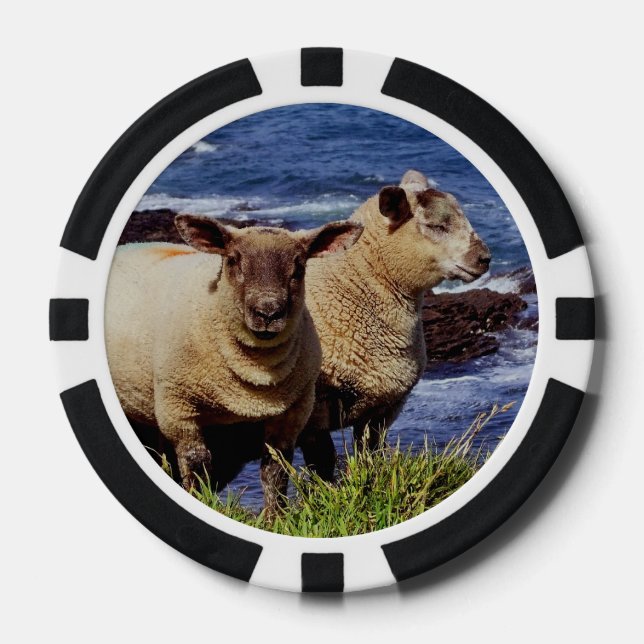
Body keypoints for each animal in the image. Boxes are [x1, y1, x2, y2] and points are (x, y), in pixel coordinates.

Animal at [105, 215, 363, 511]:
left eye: (299, 265)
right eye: (232, 260)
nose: (268, 313)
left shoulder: (293, 412)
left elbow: (275, 468)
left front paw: (276, 516)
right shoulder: (178, 409)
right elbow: (196, 462)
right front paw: (199, 500)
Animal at [296, 170, 491, 478]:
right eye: (435, 225)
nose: (484, 258)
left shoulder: (383, 408)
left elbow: (370, 456)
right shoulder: (312, 415)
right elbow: (323, 465)